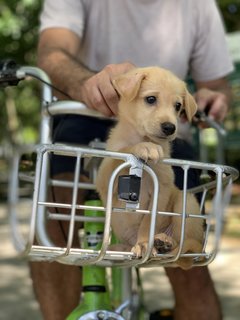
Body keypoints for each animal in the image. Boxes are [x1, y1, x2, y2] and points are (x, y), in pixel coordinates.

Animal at [95, 67, 202, 270]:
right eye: (151, 99)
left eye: (177, 106)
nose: (169, 127)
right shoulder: (105, 178)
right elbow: (124, 150)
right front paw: (143, 147)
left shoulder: (162, 190)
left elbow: (147, 222)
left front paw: (145, 244)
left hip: (187, 202)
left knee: (186, 247)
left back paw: (164, 242)